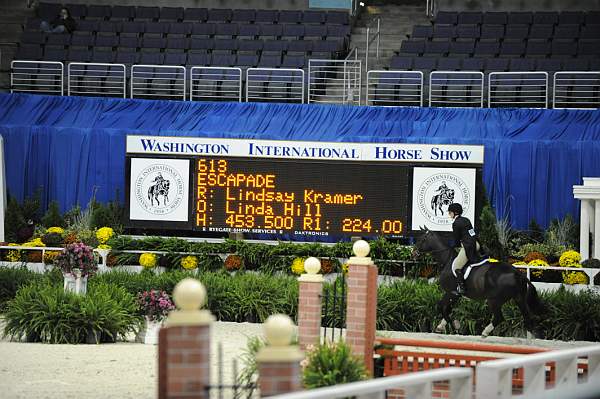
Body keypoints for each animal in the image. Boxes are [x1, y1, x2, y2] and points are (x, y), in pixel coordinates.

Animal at [414, 228, 548, 338]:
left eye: (421, 239)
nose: (414, 252)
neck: (447, 260)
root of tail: (517, 273)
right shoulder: (455, 296)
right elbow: (446, 309)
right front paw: (442, 326)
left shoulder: (451, 293)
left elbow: (441, 307)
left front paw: (455, 327)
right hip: (519, 298)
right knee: (527, 319)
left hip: (494, 300)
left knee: (499, 318)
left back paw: (485, 332)